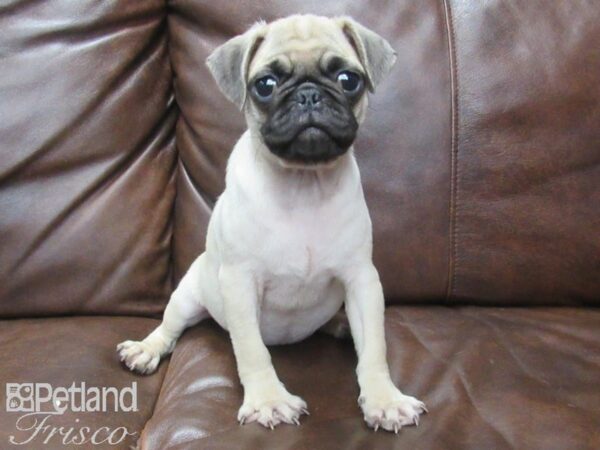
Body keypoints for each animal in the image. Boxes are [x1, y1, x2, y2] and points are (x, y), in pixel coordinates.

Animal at [117, 14, 426, 432]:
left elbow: (374, 350)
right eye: (265, 85)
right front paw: (268, 400)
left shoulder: (361, 279)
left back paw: (340, 325)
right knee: (170, 326)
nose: (309, 95)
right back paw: (146, 349)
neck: (303, 184)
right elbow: (252, 349)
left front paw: (384, 399)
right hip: (187, 295)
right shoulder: (240, 282)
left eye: (349, 80)